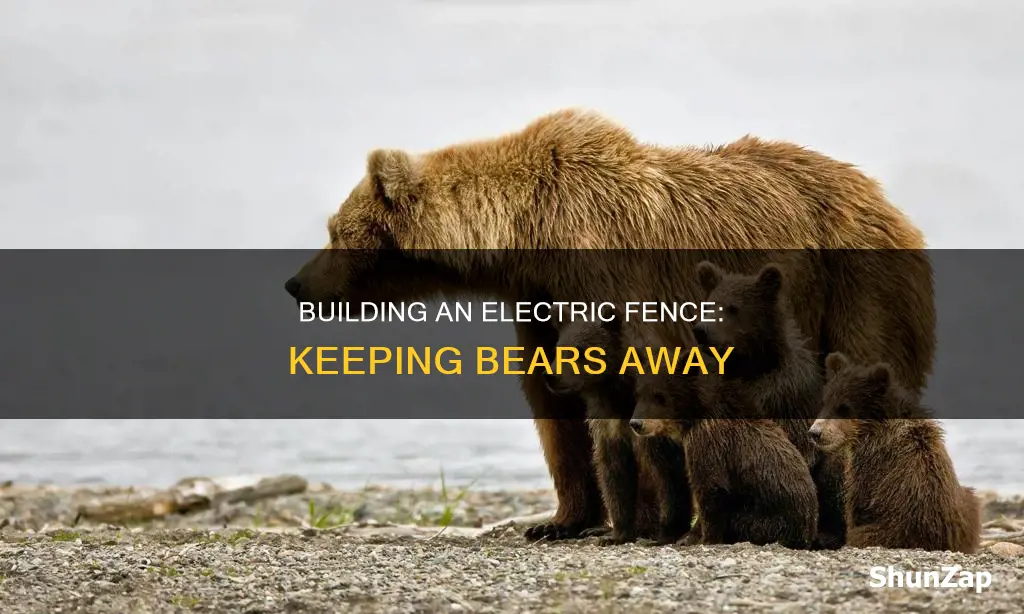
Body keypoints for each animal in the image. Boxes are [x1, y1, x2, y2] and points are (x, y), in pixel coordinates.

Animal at [544, 316, 692, 545]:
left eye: (579, 351)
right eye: (558, 350)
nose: (551, 375)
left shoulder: (655, 423)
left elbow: (668, 473)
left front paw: (667, 532)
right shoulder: (609, 427)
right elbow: (614, 474)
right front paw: (616, 534)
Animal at [630, 365, 819, 550]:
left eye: (659, 396)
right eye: (639, 395)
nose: (636, 423)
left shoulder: (708, 441)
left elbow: (711, 489)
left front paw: (700, 538)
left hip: (766, 519)